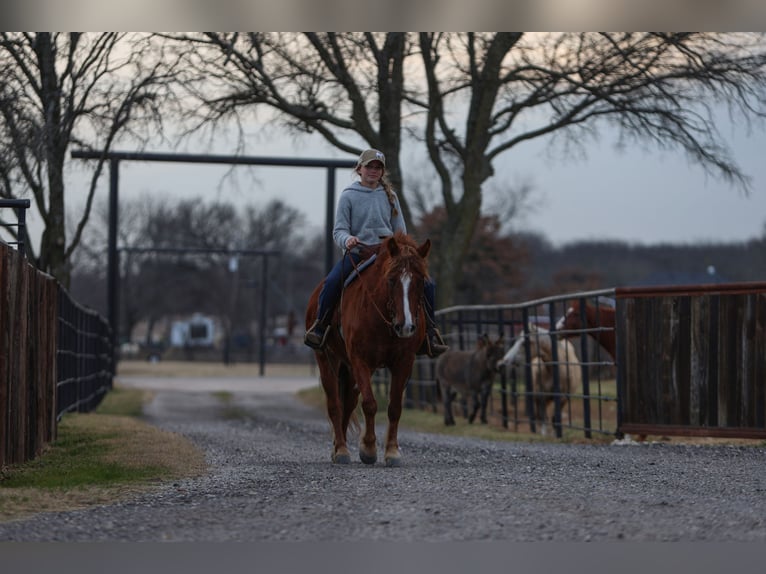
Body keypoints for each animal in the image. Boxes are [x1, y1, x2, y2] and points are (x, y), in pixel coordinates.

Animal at [304, 233, 432, 468]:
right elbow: (370, 404)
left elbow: (394, 407)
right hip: (328, 358)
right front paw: (370, 449)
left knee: (348, 403)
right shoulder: (360, 360)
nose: (406, 326)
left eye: (420, 282)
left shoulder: (404, 362)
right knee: (335, 404)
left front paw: (392, 451)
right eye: (391, 280)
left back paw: (341, 446)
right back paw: (341, 449)